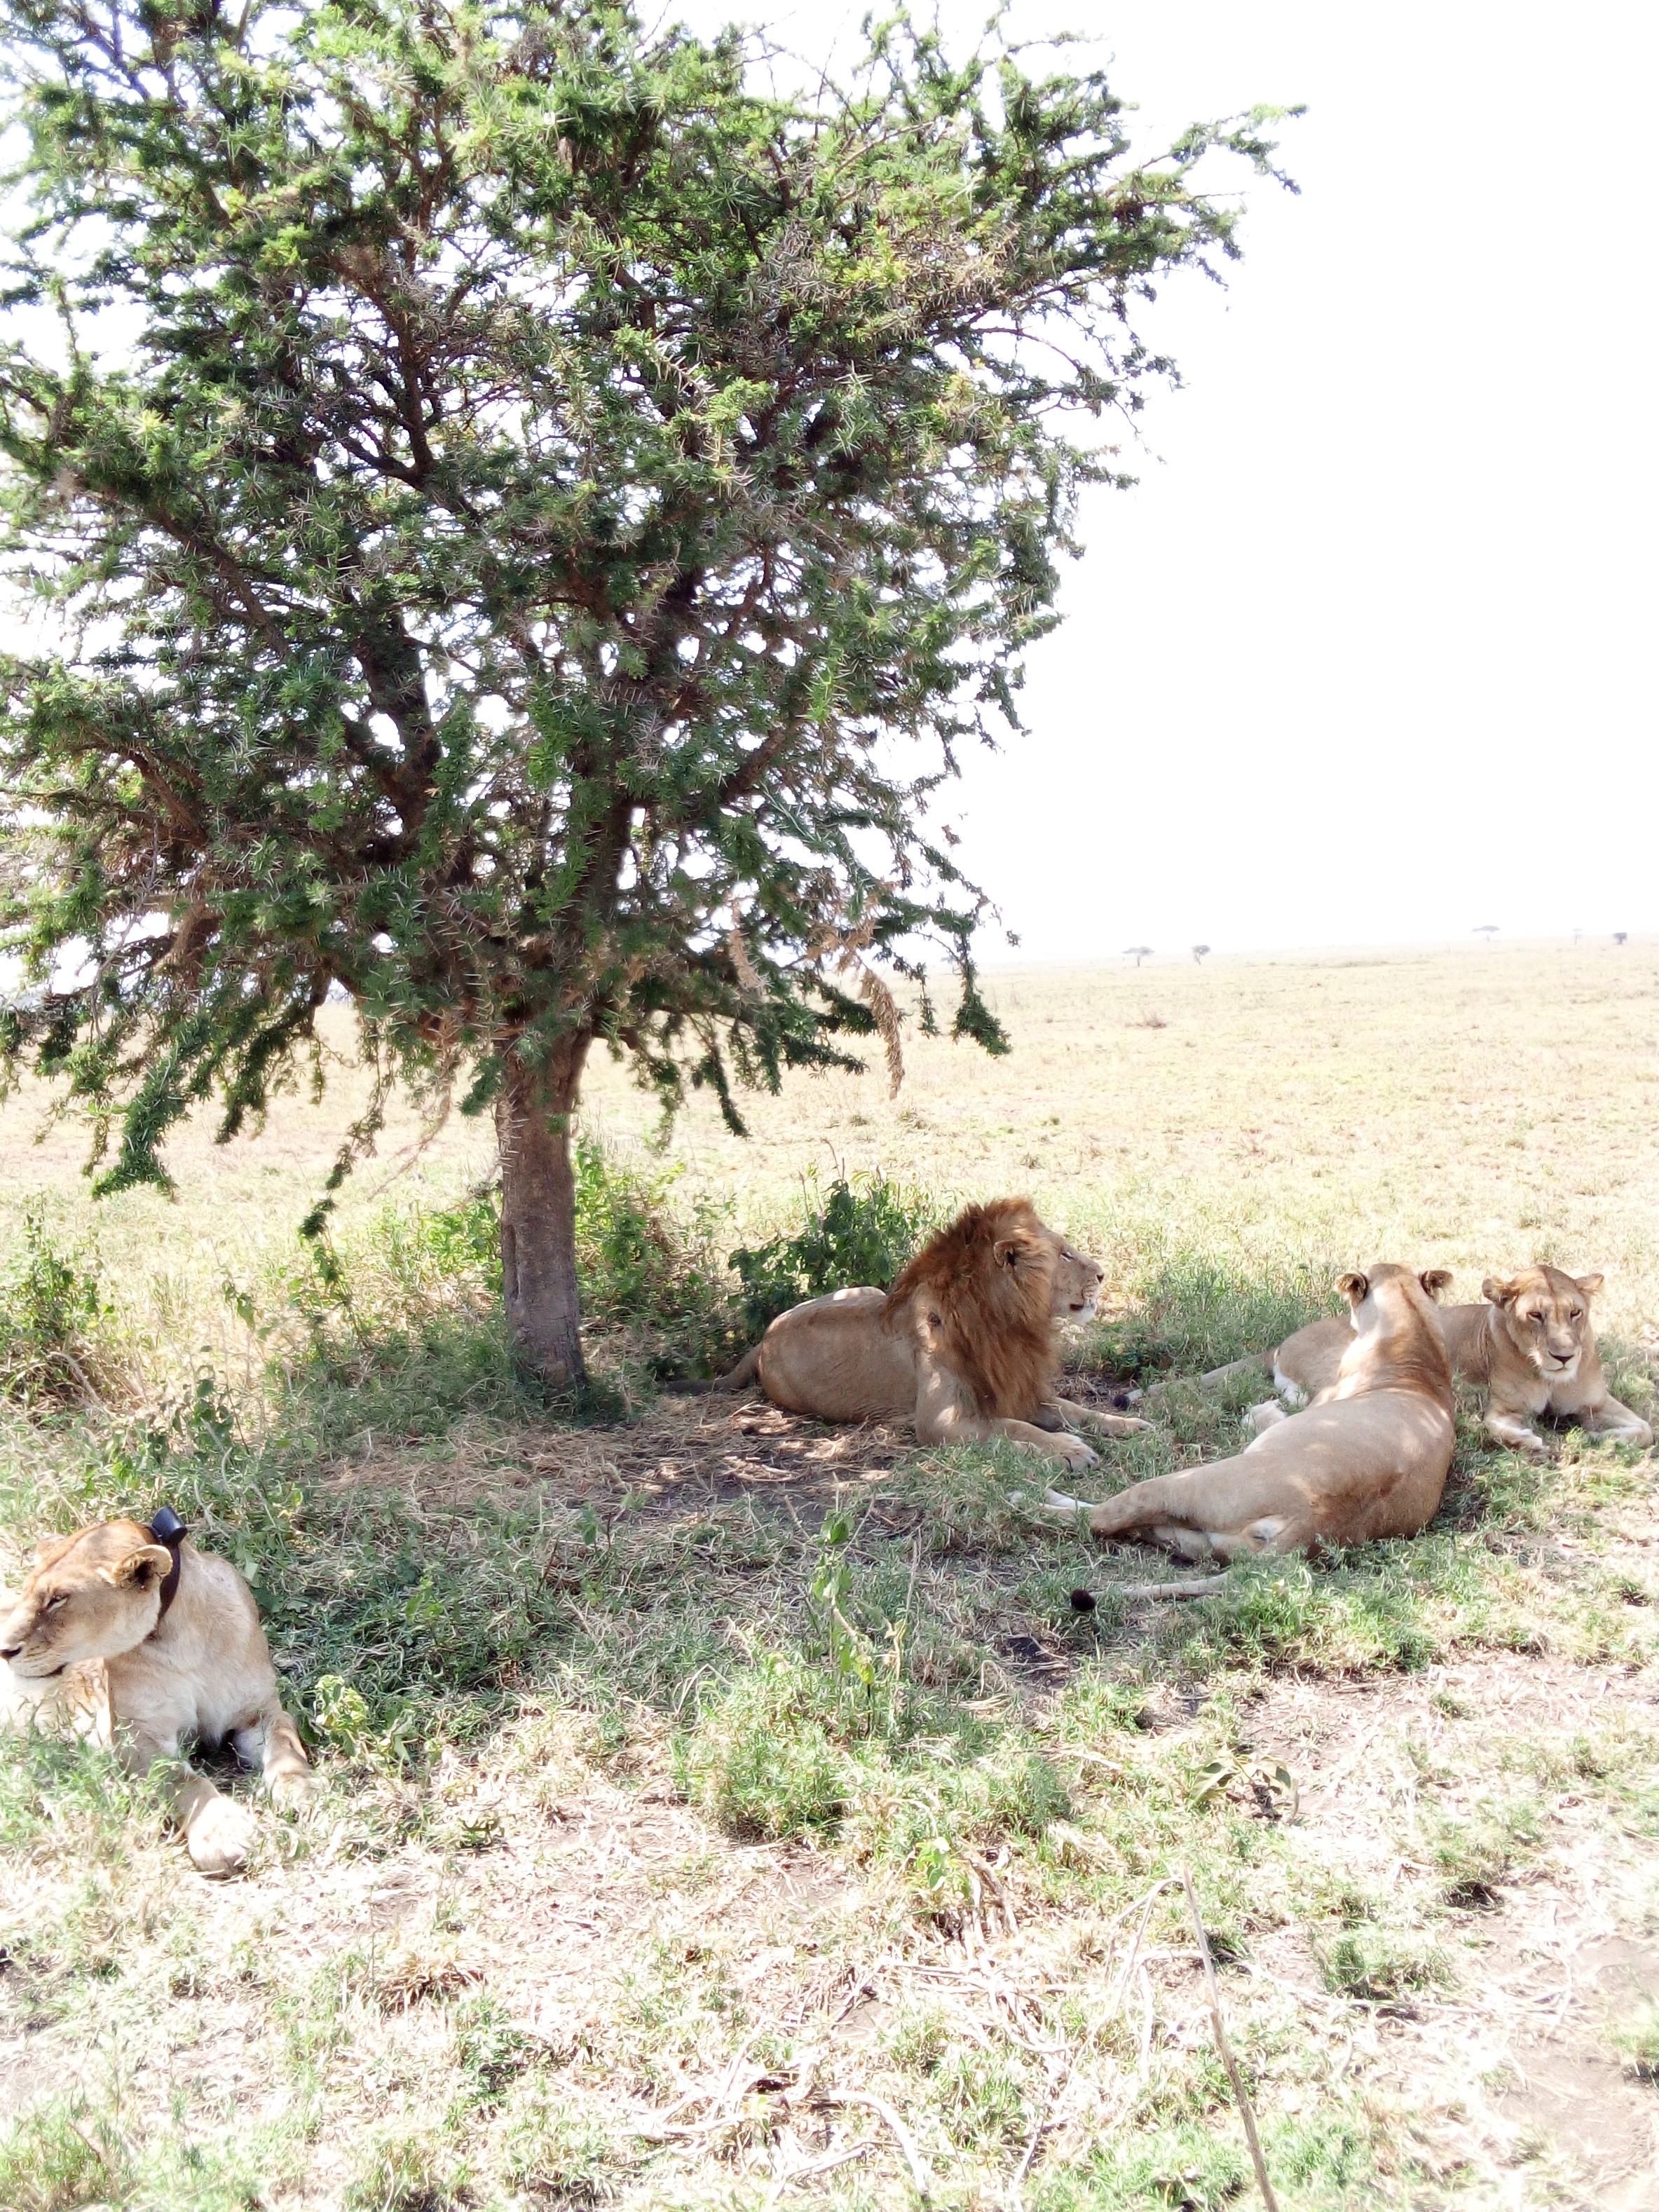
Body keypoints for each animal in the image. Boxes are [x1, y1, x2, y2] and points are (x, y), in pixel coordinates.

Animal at [1, 1513, 311, 1876]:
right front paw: (222, 1832)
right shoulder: (135, 1736)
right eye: (29, 1594)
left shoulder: (261, 1712)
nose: (4, 1649)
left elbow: (285, 1745)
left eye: (57, 1599)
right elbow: (183, 1781)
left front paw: (303, 1788)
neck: (182, 1640)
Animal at [716, 1194, 1141, 1468]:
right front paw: (1070, 1450)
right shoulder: (940, 1423)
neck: (1006, 1324)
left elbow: (1074, 1410)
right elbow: (1009, 1429)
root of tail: (765, 1337)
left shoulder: (1016, 1388)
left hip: (868, 1292)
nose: (1103, 1274)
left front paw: (1128, 1424)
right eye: (1065, 1254)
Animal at [1044, 1265, 1459, 1557]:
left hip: (1191, 1483)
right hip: (1199, 1539)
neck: (1415, 1349)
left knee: (1101, 1517)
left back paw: (1035, 1499)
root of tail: (1314, 1524)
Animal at [1274, 1265, 1654, 1451]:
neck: (1551, 1379)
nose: (1564, 1357)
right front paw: (1528, 1440)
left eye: (1575, 1312)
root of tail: (1280, 1346)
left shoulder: (1597, 1403)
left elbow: (1646, 1430)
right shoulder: (1502, 1407)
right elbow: (1497, 1427)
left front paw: (1603, 1439)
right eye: (1535, 1316)